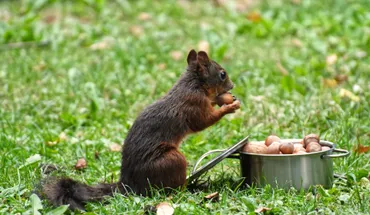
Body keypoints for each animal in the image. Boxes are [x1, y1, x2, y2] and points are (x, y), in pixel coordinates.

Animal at [40, 49, 241, 209]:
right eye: (222, 74)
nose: (232, 86)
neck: (194, 84)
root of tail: (128, 184)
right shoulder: (194, 105)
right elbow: (203, 122)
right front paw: (228, 107)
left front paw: (223, 100)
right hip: (171, 159)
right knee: (170, 189)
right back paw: (190, 189)